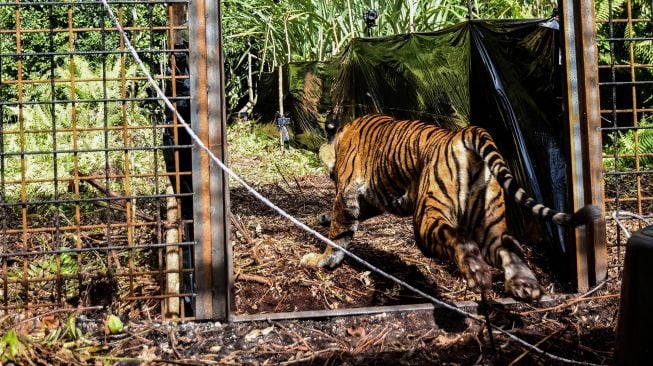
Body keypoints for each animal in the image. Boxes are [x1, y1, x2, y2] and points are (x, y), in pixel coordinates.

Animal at [300, 113, 600, 300]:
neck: (342, 136)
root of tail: (467, 131)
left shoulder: (348, 194)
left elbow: (339, 234)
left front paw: (320, 260)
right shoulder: (373, 199)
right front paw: (322, 219)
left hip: (428, 217)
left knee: (461, 241)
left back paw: (477, 273)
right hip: (489, 223)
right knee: (509, 246)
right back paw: (525, 286)